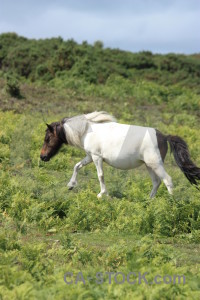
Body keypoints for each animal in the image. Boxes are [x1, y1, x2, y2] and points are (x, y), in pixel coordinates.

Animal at [39, 111, 199, 198]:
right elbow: (77, 166)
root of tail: (164, 136)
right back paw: (149, 201)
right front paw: (71, 185)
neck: (87, 130)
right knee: (156, 182)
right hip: (149, 166)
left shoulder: (97, 157)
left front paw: (102, 194)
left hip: (156, 164)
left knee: (168, 180)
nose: (42, 157)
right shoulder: (90, 156)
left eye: (47, 138)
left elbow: (100, 175)